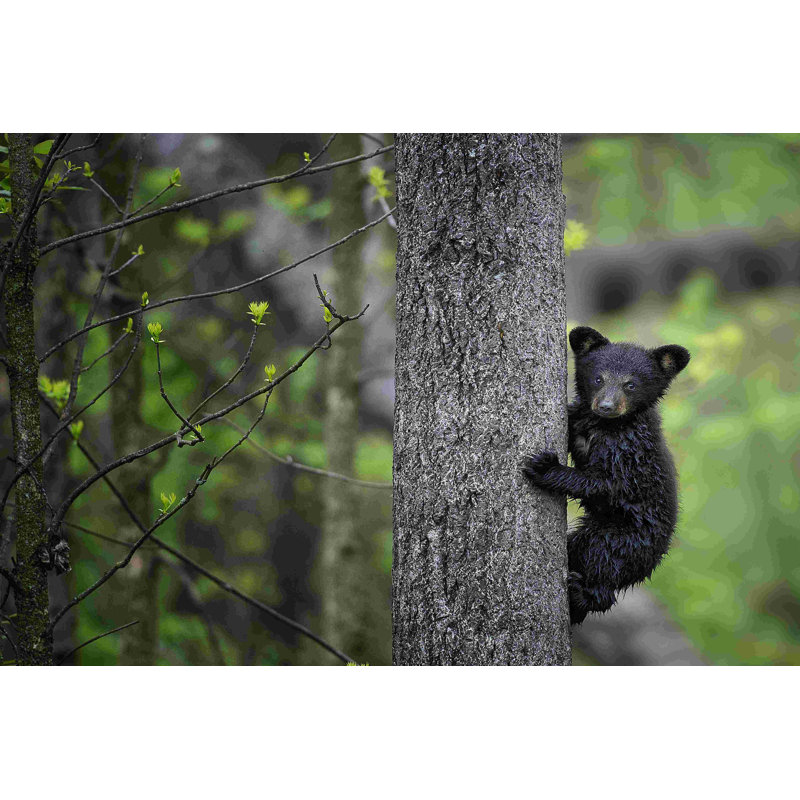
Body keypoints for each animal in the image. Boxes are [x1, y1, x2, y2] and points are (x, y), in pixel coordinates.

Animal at [522, 325, 691, 625]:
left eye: (631, 384)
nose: (607, 406)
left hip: (619, 536)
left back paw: (579, 593)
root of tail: (657, 557)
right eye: (598, 378)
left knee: (602, 568)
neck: (606, 426)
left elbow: (604, 482)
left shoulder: (630, 455)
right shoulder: (580, 419)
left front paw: (545, 468)